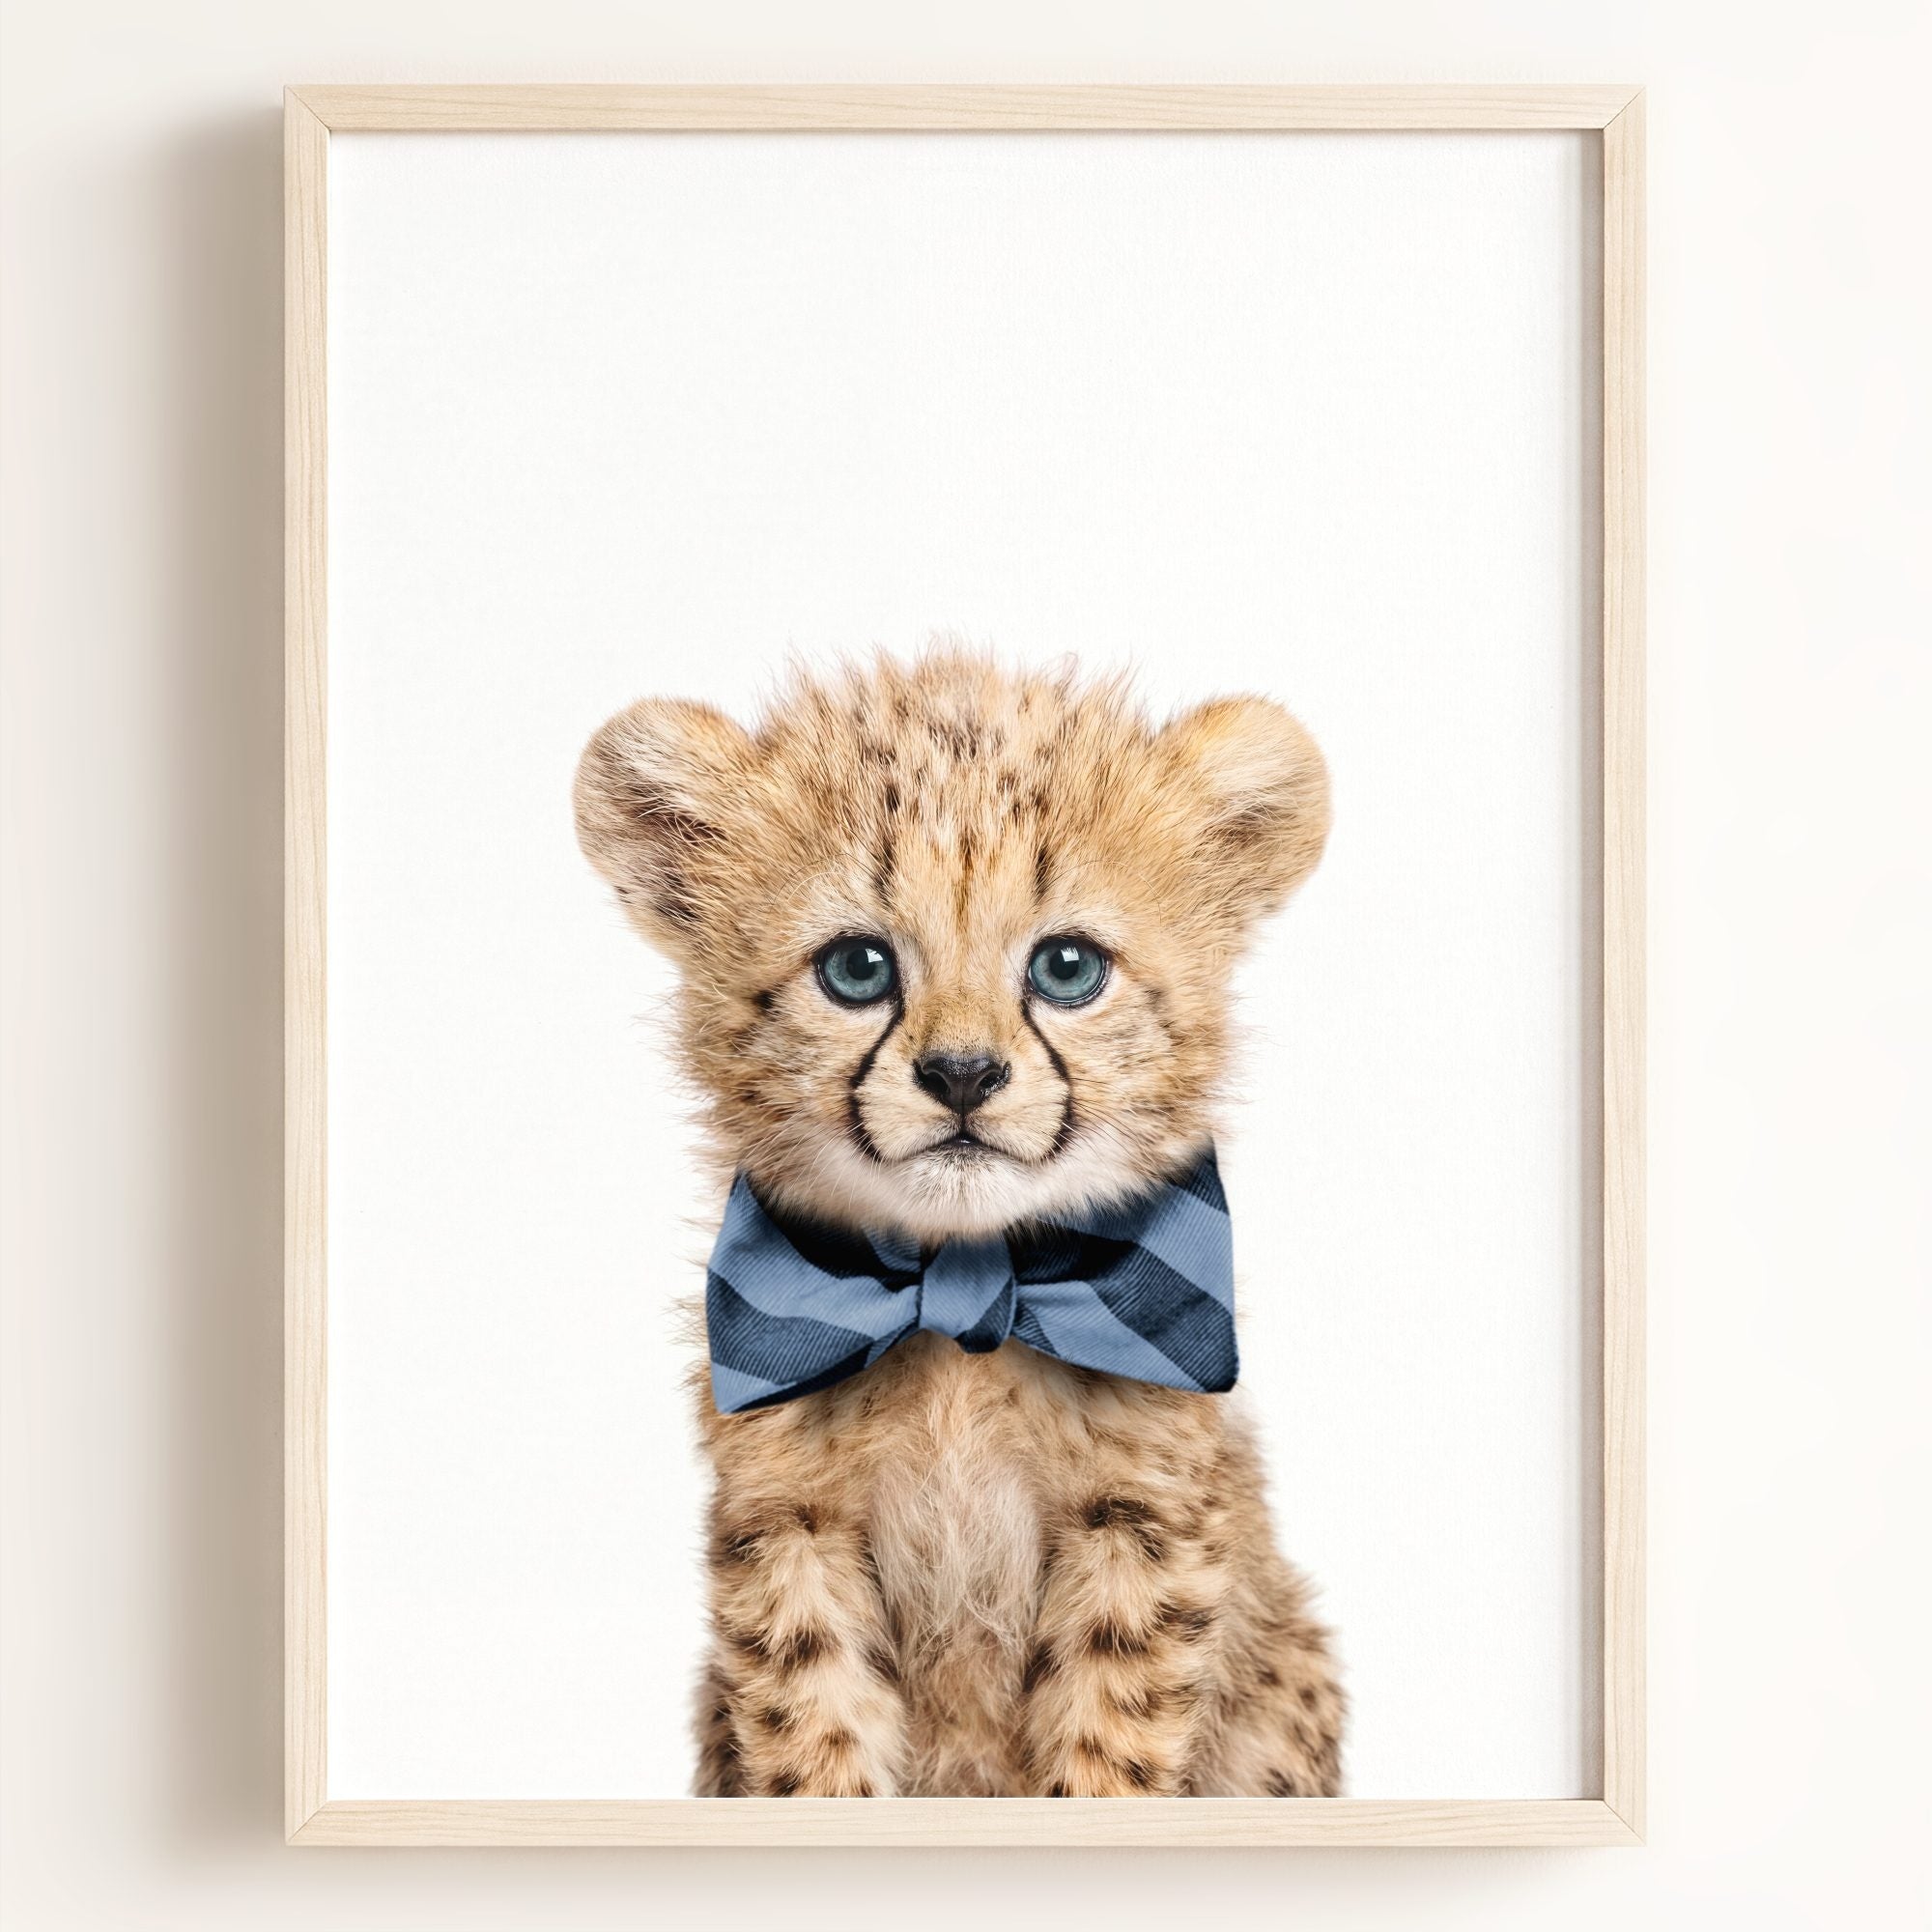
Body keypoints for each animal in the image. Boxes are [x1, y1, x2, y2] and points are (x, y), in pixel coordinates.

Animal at [574, 647, 1344, 1798]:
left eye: (1067, 967)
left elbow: (1108, 1745)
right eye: (857, 967)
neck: (963, 1297)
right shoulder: (789, 1525)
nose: (963, 1074)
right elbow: (813, 1736)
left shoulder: (1140, 1522)